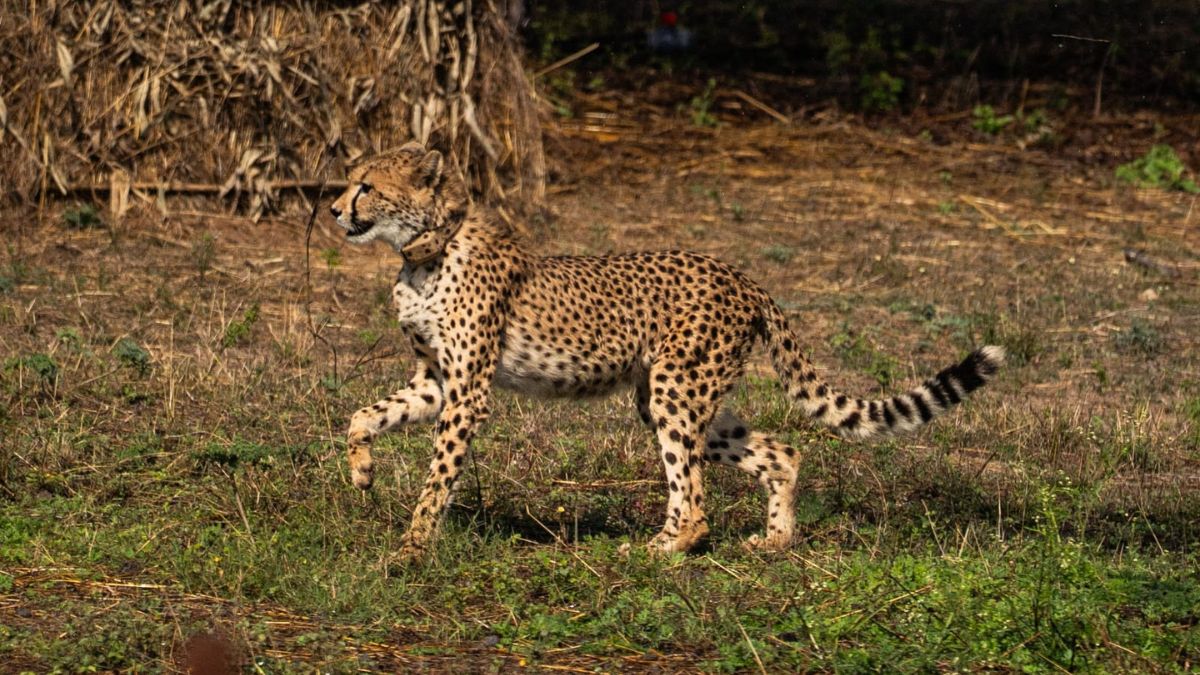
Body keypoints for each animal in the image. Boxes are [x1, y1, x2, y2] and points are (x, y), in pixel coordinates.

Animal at [329, 142, 1005, 563]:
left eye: (367, 186)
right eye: (350, 181)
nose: (334, 209)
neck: (427, 250)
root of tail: (742, 275)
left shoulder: (468, 391)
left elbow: (437, 476)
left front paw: (413, 548)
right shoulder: (437, 379)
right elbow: (362, 415)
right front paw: (361, 472)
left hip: (674, 390)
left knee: (695, 499)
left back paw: (661, 548)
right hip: (676, 393)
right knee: (781, 452)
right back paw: (774, 541)